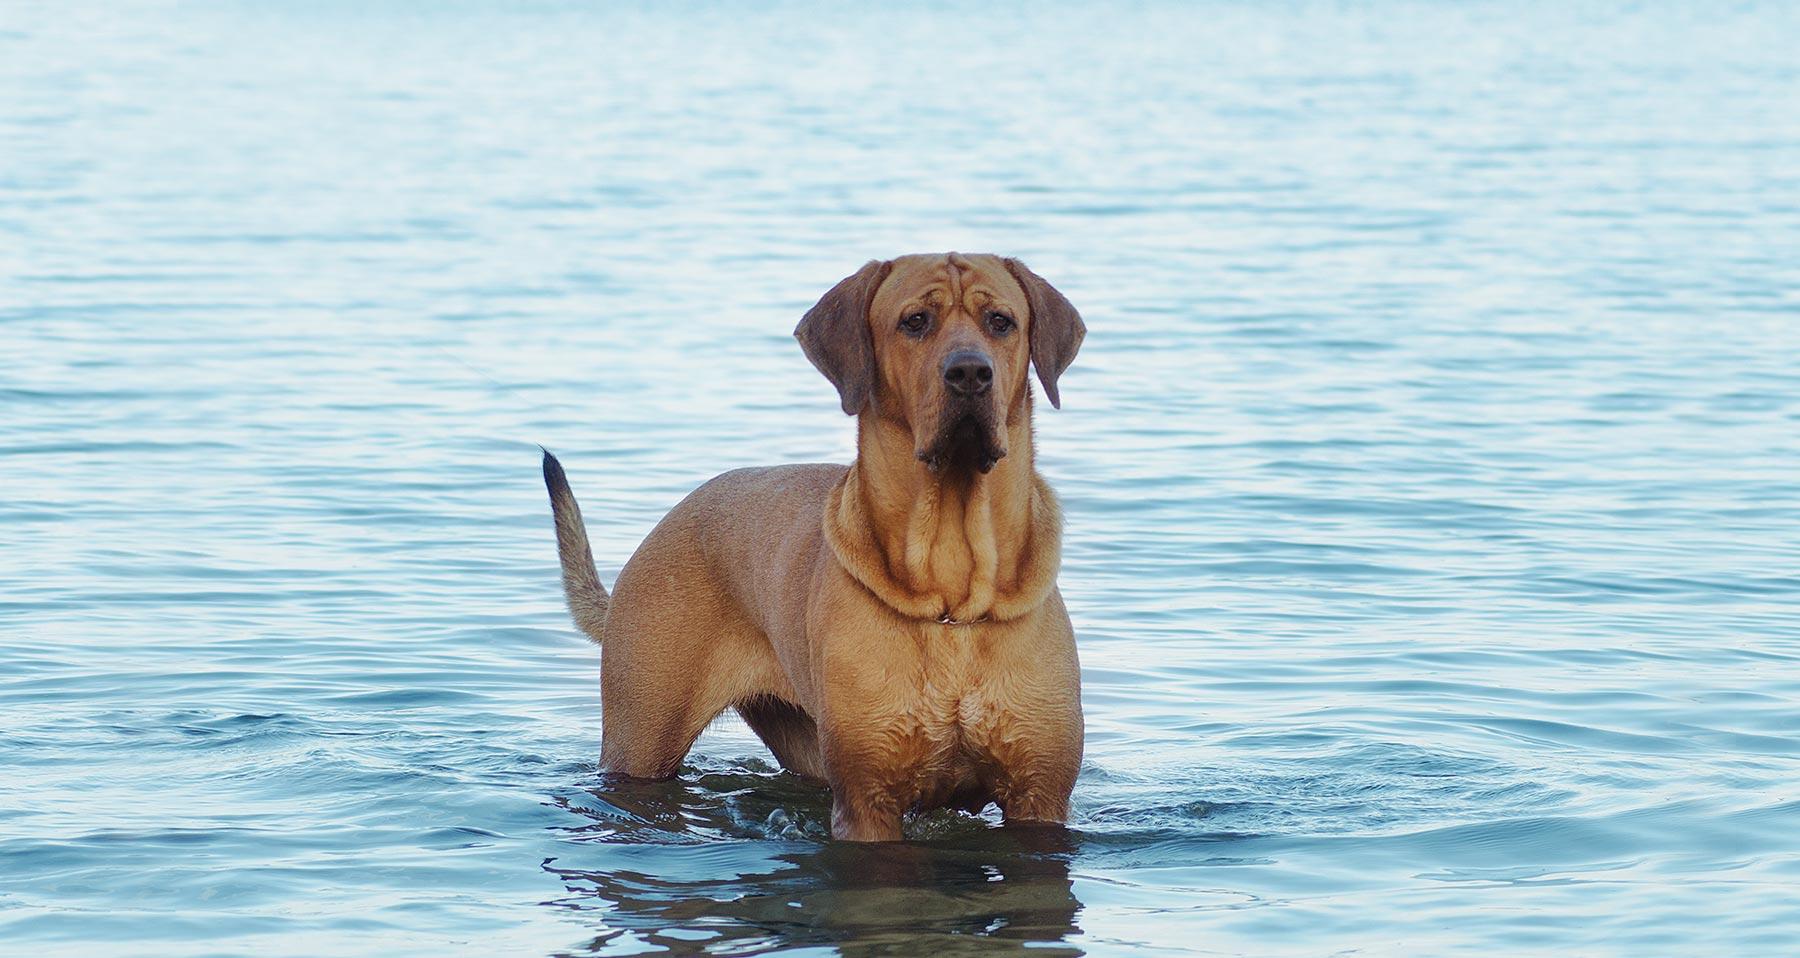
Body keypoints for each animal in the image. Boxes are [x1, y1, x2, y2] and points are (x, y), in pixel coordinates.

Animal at [543, 252, 1080, 839]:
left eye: (1001, 322)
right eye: (915, 321)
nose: (969, 372)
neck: (951, 596)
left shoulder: (1039, 794)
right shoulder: (867, 801)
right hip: (641, 735)